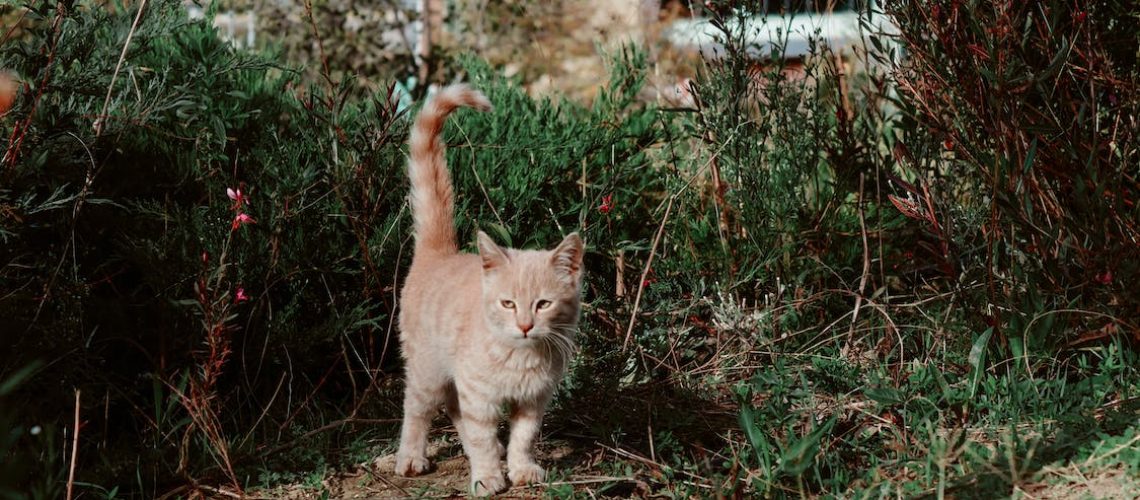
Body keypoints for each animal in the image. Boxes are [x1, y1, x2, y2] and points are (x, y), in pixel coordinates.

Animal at [394, 84, 588, 494]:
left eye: (543, 304)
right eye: (508, 303)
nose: (525, 326)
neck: (521, 356)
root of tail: (440, 252)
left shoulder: (534, 399)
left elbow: (523, 437)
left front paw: (520, 467)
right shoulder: (478, 393)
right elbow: (481, 434)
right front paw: (486, 475)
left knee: (453, 409)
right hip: (427, 369)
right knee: (418, 409)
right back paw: (411, 457)